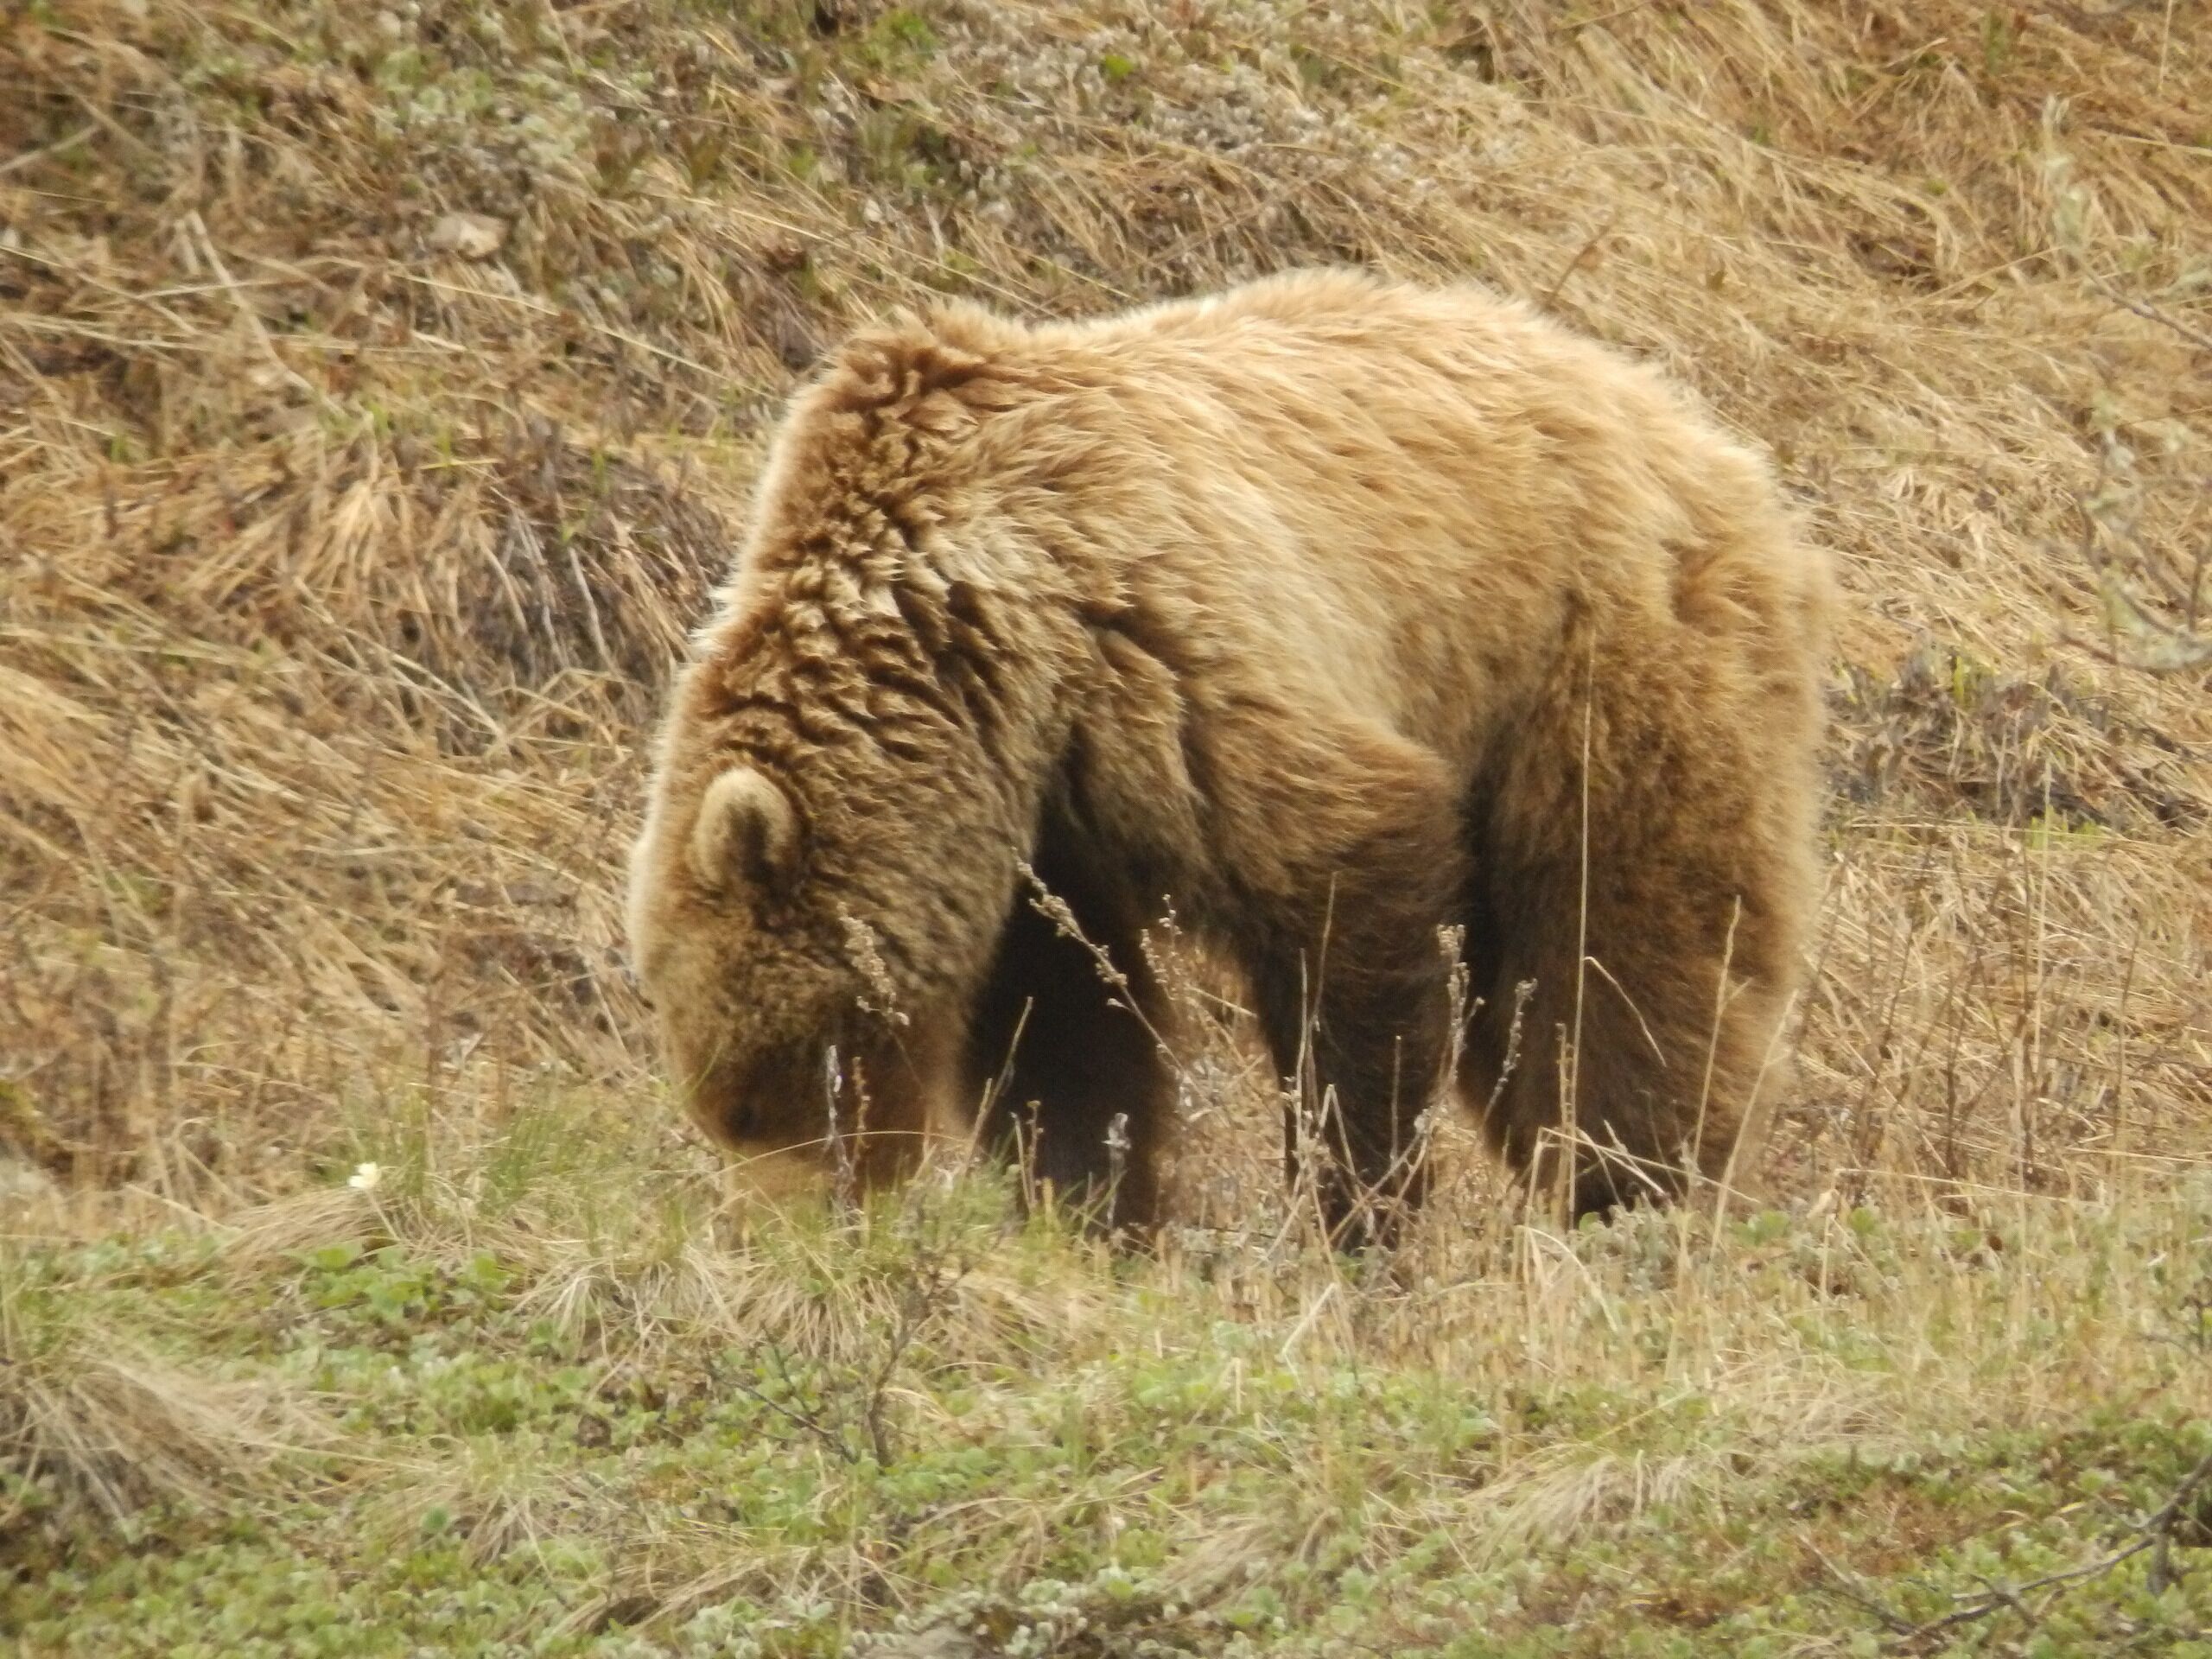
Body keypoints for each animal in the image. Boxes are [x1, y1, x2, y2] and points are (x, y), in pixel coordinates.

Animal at [625, 267, 1831, 1243]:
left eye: (760, 1093)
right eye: (722, 1102)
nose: (787, 1233)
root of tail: (1695, 426)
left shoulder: (1154, 651)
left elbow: (1349, 893)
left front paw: (1357, 1218)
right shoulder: (1038, 823)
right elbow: (1067, 1033)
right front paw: (1092, 1213)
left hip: (1589, 661)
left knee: (1623, 956)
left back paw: (1634, 1197)